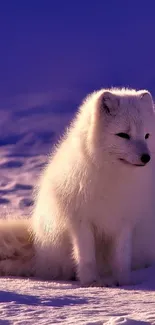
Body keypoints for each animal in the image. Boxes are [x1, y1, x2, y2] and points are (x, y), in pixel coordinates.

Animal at [0, 86, 155, 286]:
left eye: (147, 135)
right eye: (123, 135)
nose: (146, 157)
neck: (113, 176)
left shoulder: (124, 221)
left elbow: (121, 257)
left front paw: (123, 283)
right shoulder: (81, 221)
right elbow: (86, 257)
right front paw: (91, 283)